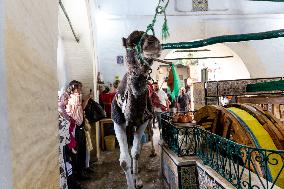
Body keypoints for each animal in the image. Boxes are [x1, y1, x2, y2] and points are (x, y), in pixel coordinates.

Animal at [111, 30, 160, 188]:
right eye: (131, 44)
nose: (153, 43)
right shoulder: (118, 122)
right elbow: (124, 161)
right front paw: (131, 182)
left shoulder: (142, 121)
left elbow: (136, 152)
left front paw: (137, 181)